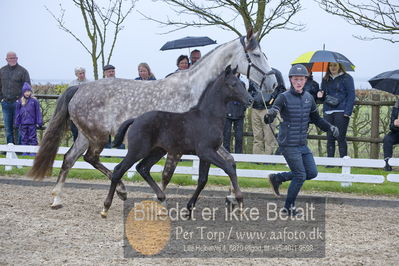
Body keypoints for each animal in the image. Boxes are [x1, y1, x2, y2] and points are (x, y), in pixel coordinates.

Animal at [101, 65, 255, 217]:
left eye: (242, 84)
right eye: (233, 84)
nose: (250, 100)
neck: (208, 117)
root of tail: (135, 119)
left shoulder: (206, 155)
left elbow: (202, 180)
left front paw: (188, 208)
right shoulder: (206, 152)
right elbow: (229, 169)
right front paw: (240, 200)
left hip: (157, 151)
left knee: (142, 168)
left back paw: (162, 199)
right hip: (138, 151)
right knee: (118, 170)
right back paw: (106, 208)